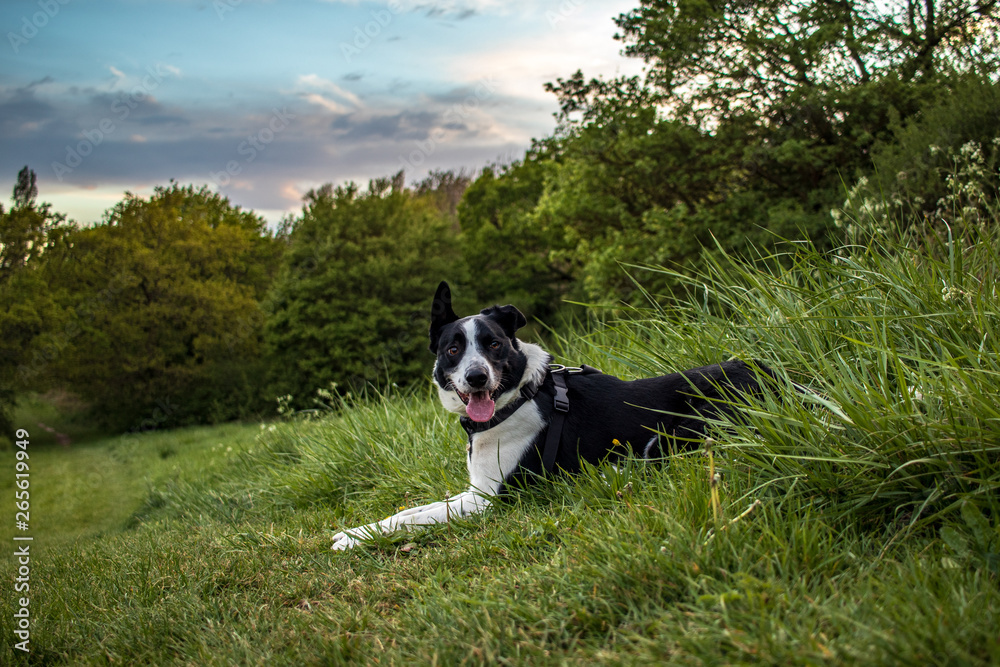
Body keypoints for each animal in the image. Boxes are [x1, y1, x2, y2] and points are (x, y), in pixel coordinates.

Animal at [332, 282, 784, 548]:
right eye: (453, 349)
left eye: (494, 344)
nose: (477, 378)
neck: (517, 397)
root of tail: (778, 377)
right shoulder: (474, 491)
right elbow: (409, 511)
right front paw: (358, 530)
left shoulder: (487, 501)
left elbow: (420, 519)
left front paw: (355, 539)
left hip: (682, 426)